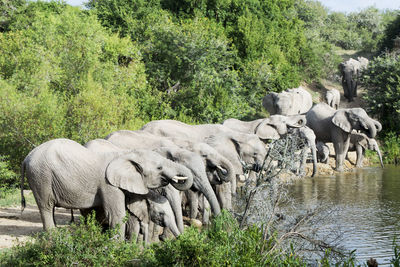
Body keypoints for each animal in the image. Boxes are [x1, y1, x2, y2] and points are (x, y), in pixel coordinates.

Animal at [21, 138, 194, 239]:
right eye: (159, 168)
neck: (126, 154)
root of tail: (26, 158)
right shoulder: (109, 185)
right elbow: (117, 214)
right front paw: (117, 246)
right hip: (41, 176)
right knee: (46, 206)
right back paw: (54, 236)